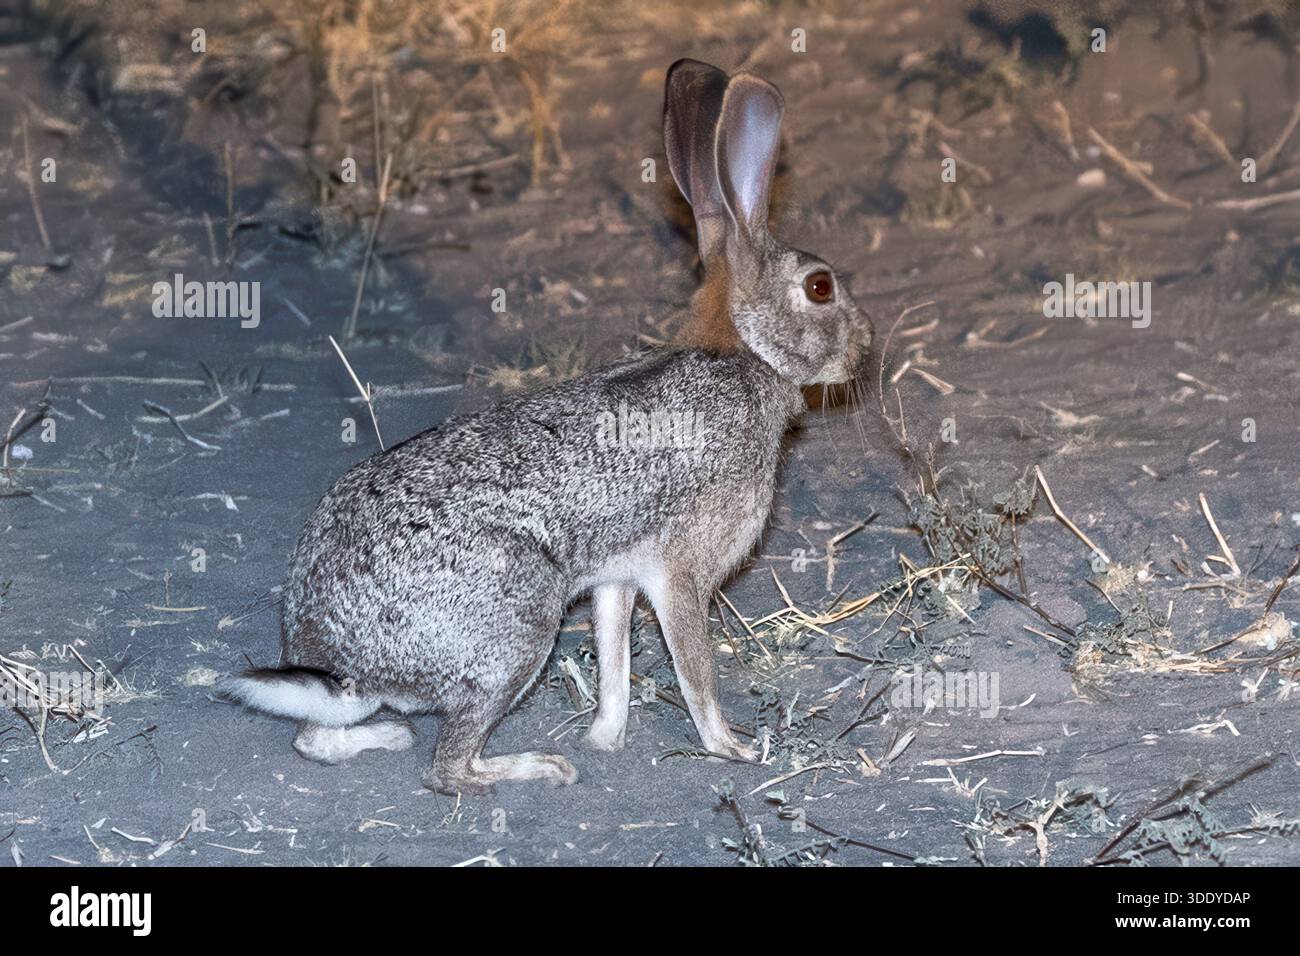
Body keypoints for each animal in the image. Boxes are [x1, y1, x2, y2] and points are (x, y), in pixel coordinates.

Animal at [218, 58, 874, 795]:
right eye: (820, 288)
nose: (865, 346)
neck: (745, 352)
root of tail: (341, 660)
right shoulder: (680, 573)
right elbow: (695, 672)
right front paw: (732, 748)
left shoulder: (618, 578)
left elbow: (615, 662)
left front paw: (605, 737)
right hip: (521, 624)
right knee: (448, 767)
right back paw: (537, 767)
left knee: (313, 740)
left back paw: (388, 735)